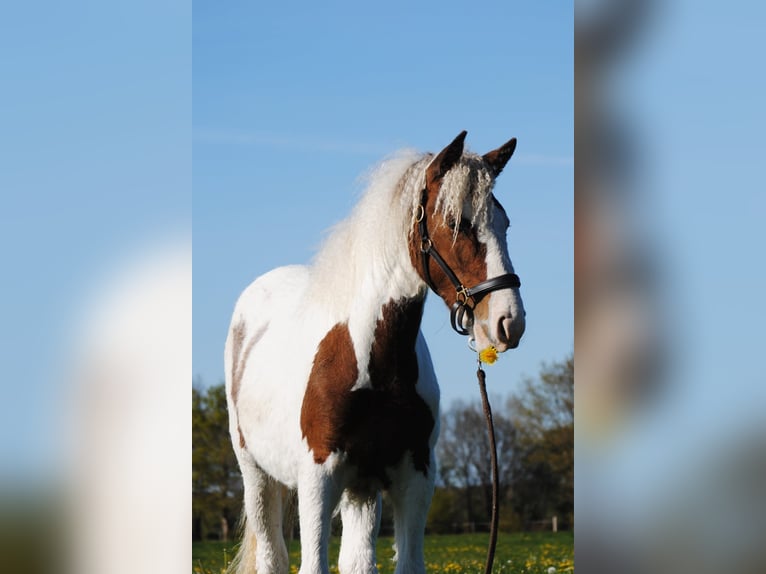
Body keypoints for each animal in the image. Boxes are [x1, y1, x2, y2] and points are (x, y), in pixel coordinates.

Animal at [224, 131, 526, 574]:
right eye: (456, 222)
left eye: (504, 223)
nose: (509, 321)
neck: (370, 363)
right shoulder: (318, 479)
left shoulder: (415, 476)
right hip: (257, 476)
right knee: (271, 554)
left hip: (361, 492)